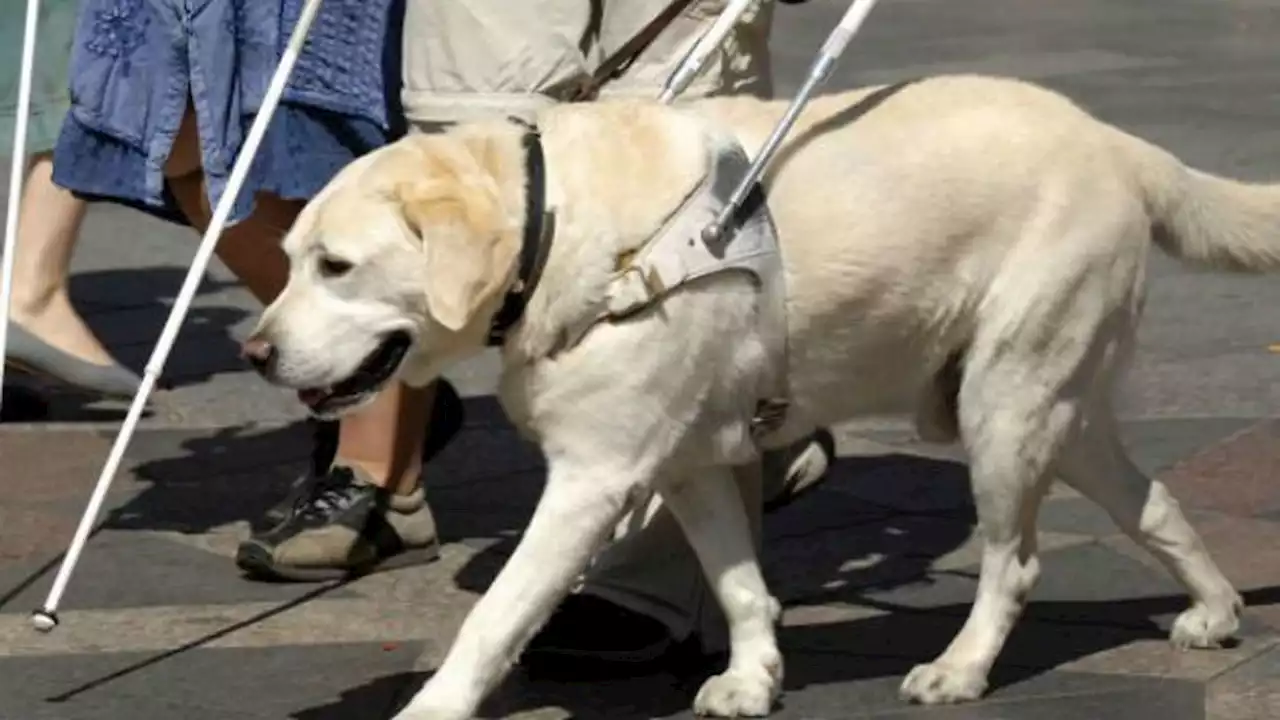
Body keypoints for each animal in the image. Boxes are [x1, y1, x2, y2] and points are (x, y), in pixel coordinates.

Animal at [240, 74, 1269, 717]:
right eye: (288, 260)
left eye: (336, 266)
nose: (254, 350)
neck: (561, 227)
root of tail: (1117, 142)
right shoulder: (690, 463)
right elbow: (738, 584)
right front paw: (754, 677)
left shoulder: (593, 479)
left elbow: (495, 614)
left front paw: (434, 706)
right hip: (1056, 407)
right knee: (1154, 502)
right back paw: (1216, 611)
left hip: (1006, 405)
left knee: (1014, 563)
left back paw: (961, 668)